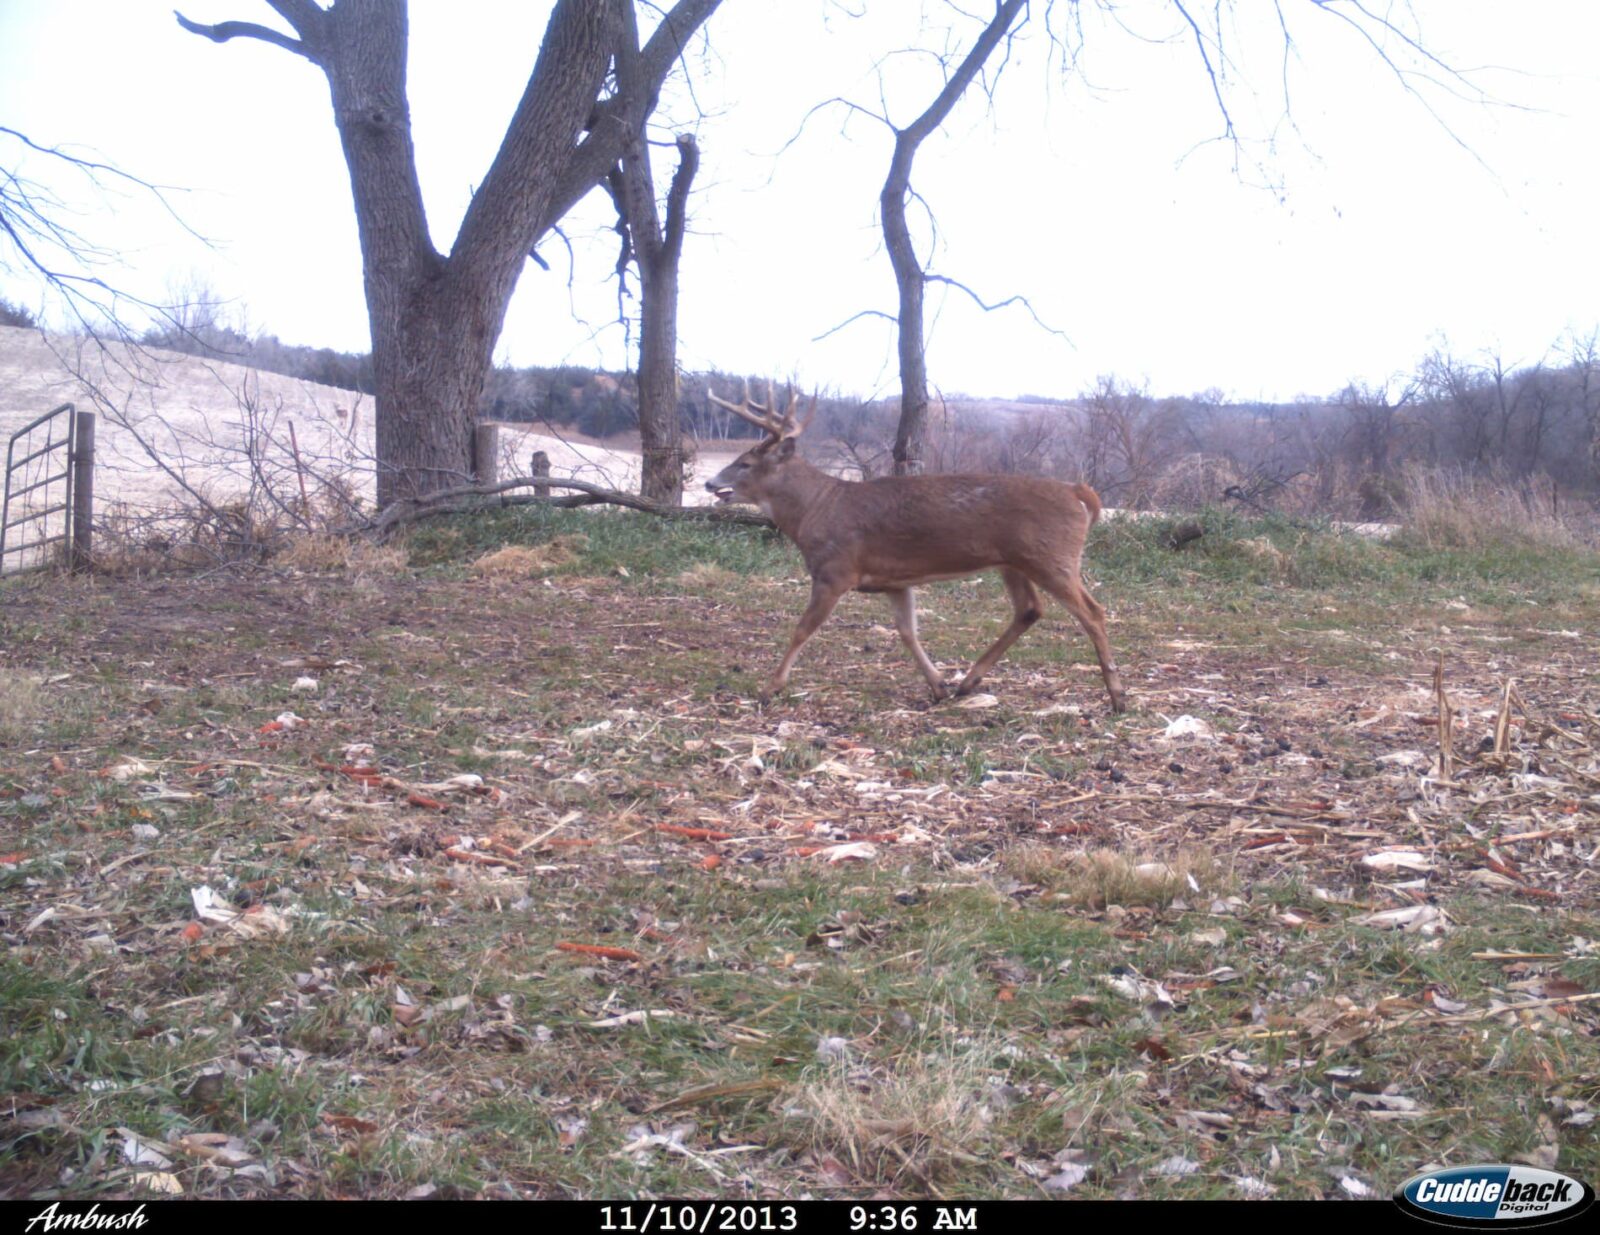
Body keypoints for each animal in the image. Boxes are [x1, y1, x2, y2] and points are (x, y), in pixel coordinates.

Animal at [703, 382, 1127, 713]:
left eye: (744, 463)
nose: (709, 483)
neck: (816, 508)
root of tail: (1077, 491)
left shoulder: (835, 570)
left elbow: (802, 629)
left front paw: (770, 688)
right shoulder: (895, 581)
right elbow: (907, 631)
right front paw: (938, 686)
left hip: (1052, 556)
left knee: (1093, 612)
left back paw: (1117, 695)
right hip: (1013, 561)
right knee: (1029, 609)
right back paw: (967, 683)